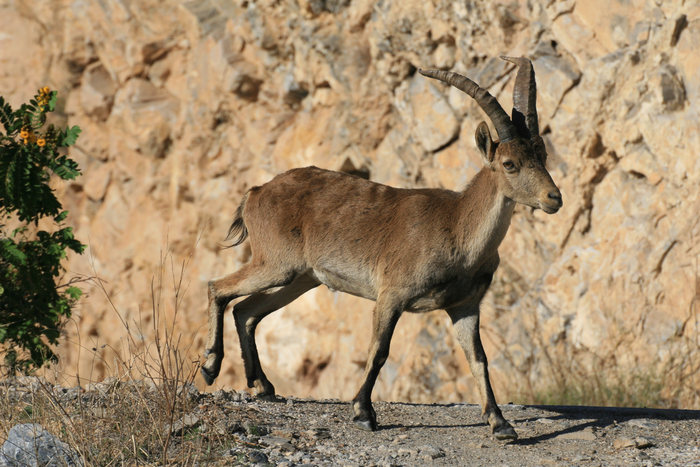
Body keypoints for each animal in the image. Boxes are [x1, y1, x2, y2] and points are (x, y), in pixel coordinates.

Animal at [200, 56, 560, 440]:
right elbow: (379, 350)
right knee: (219, 288)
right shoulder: (392, 293)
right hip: (276, 263)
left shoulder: (465, 306)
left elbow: (479, 359)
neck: (458, 232)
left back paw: (263, 386)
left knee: (246, 311)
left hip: (300, 278)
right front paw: (362, 412)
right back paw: (210, 366)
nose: (554, 198)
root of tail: (256, 193)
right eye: (509, 164)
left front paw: (500, 423)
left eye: (543, 155)